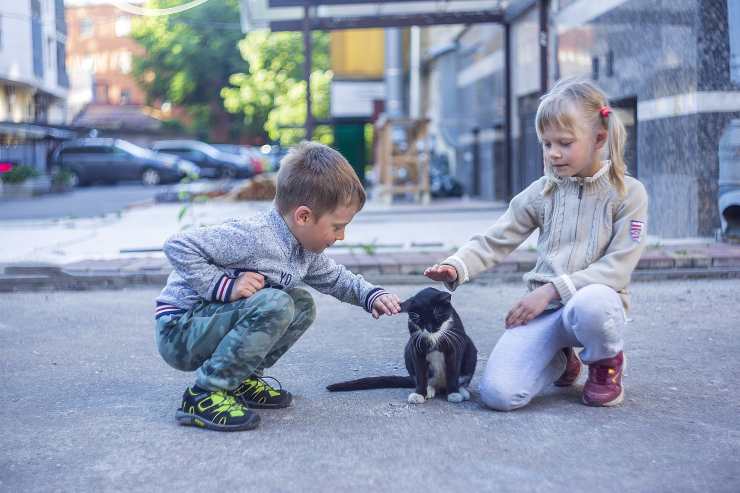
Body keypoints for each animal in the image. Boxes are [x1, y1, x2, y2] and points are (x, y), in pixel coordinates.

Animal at [326, 284, 476, 404]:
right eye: (417, 317)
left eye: (436, 313)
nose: (429, 328)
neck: (434, 337)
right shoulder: (416, 346)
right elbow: (420, 373)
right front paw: (419, 394)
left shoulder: (455, 343)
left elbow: (453, 371)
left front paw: (454, 393)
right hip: (408, 349)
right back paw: (429, 389)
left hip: (470, 349)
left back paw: (461, 391)